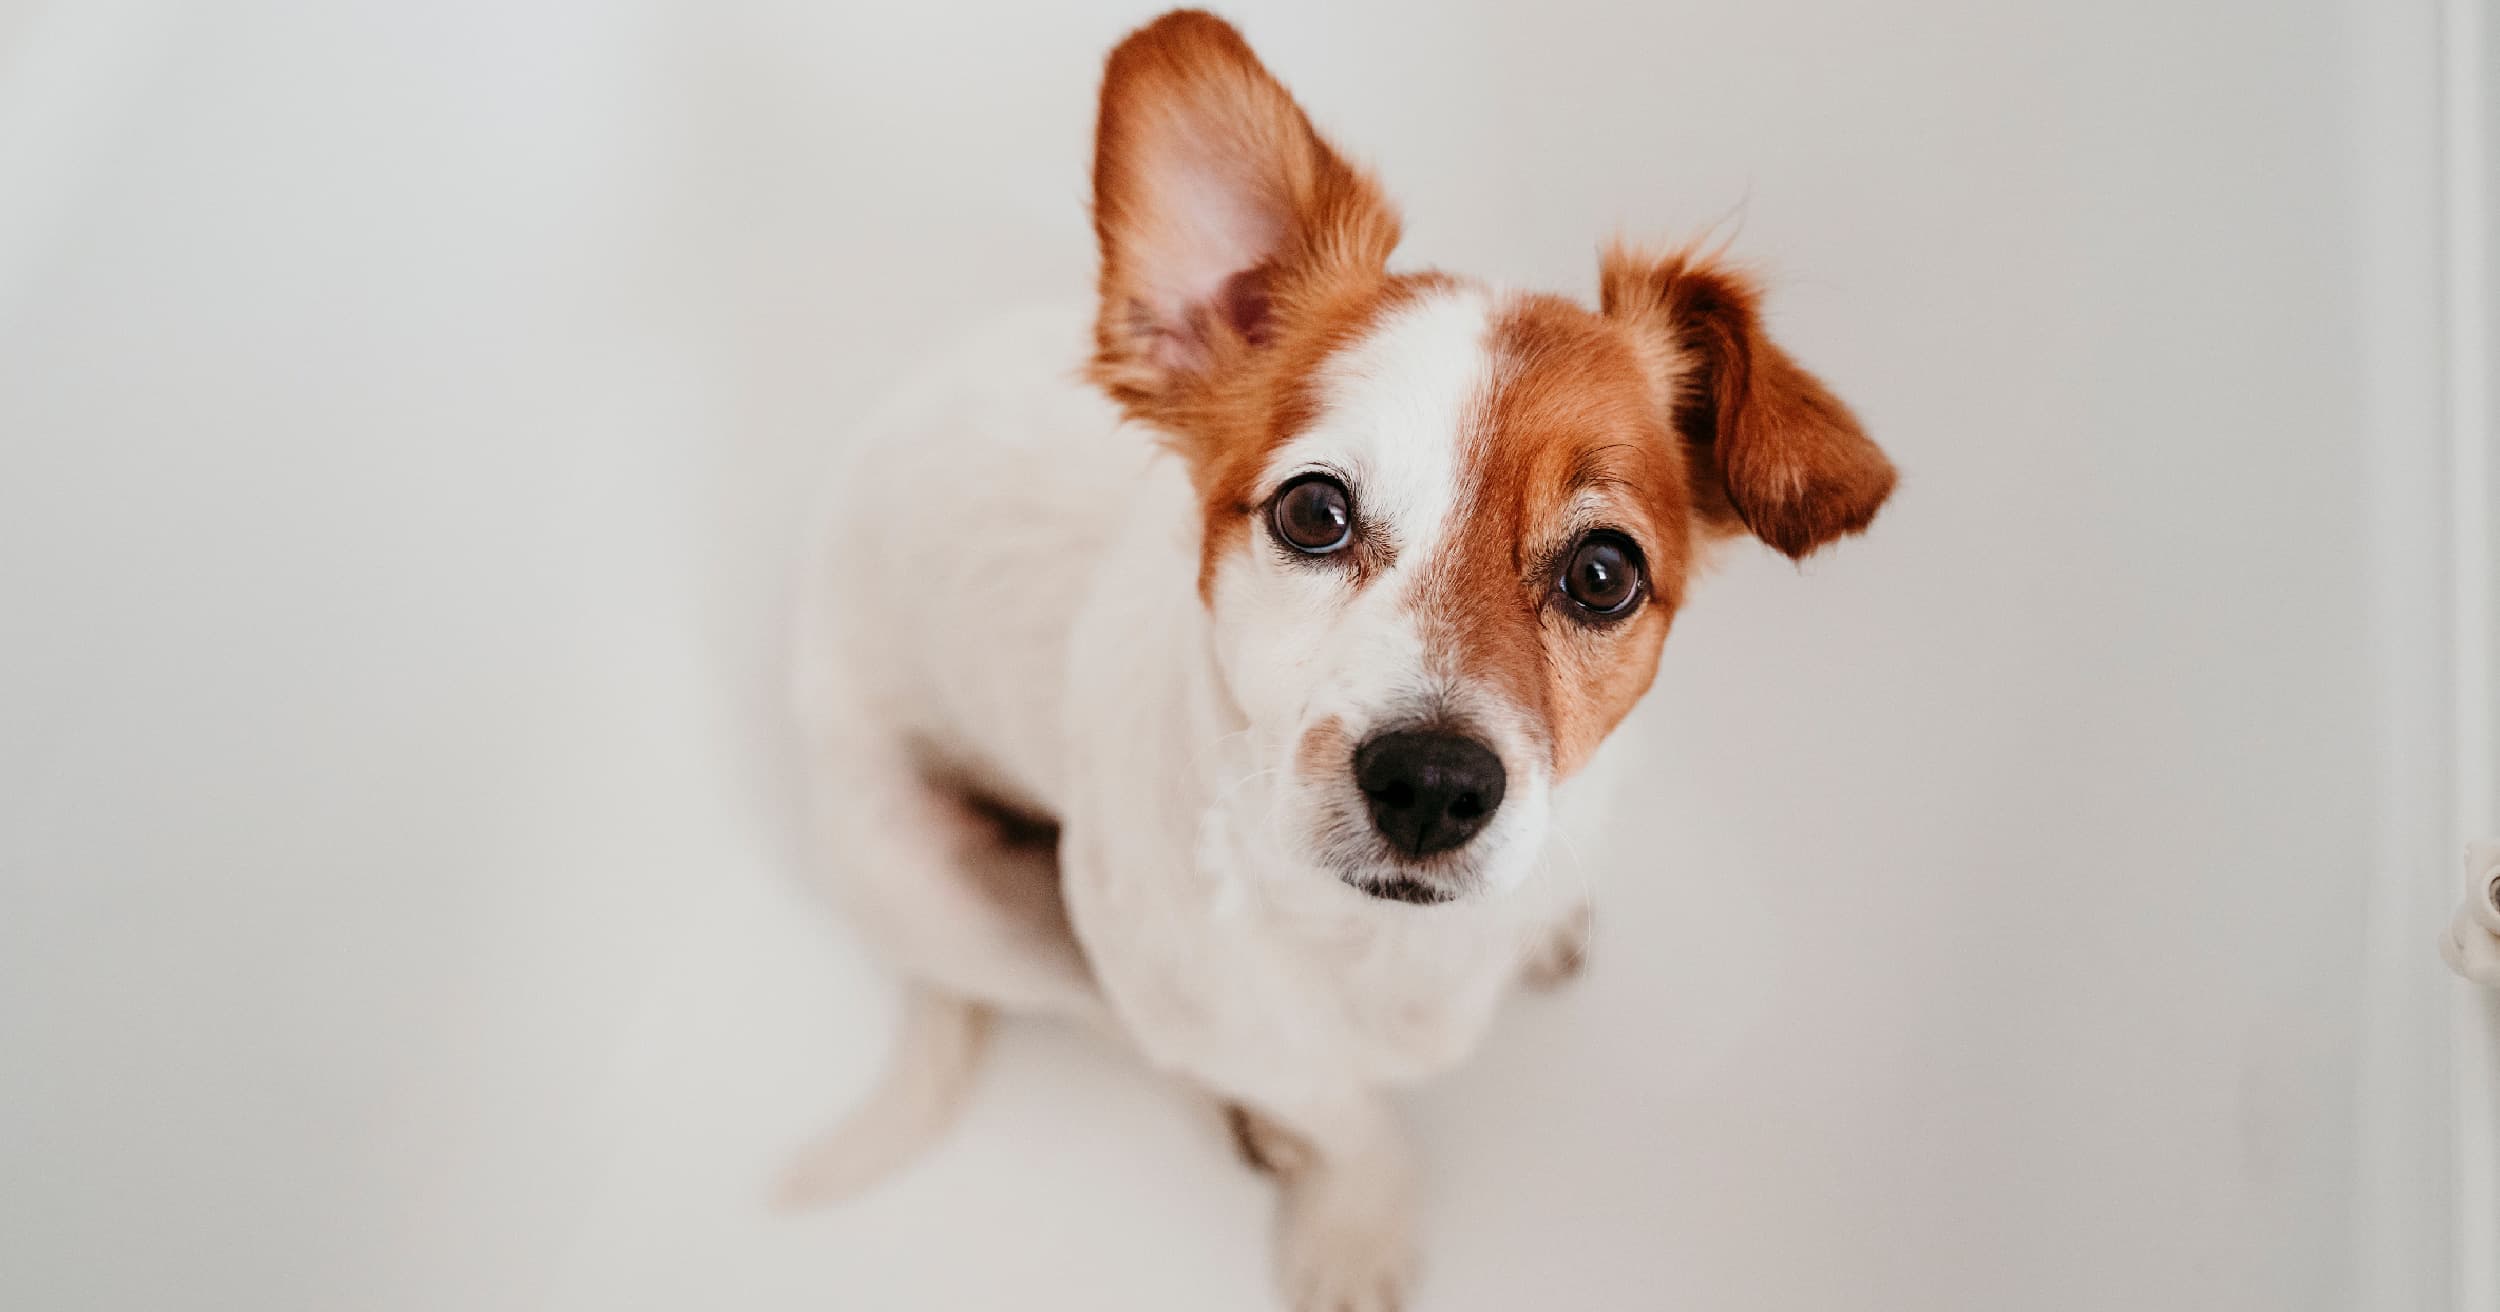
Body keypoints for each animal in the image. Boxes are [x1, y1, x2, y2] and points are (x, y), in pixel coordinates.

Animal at [790, 12, 1880, 1309]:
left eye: (1603, 574)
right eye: (1313, 512)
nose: (1433, 783)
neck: (1386, 943)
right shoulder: (1204, 1005)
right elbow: (1342, 1111)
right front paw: (1354, 1220)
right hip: (943, 891)